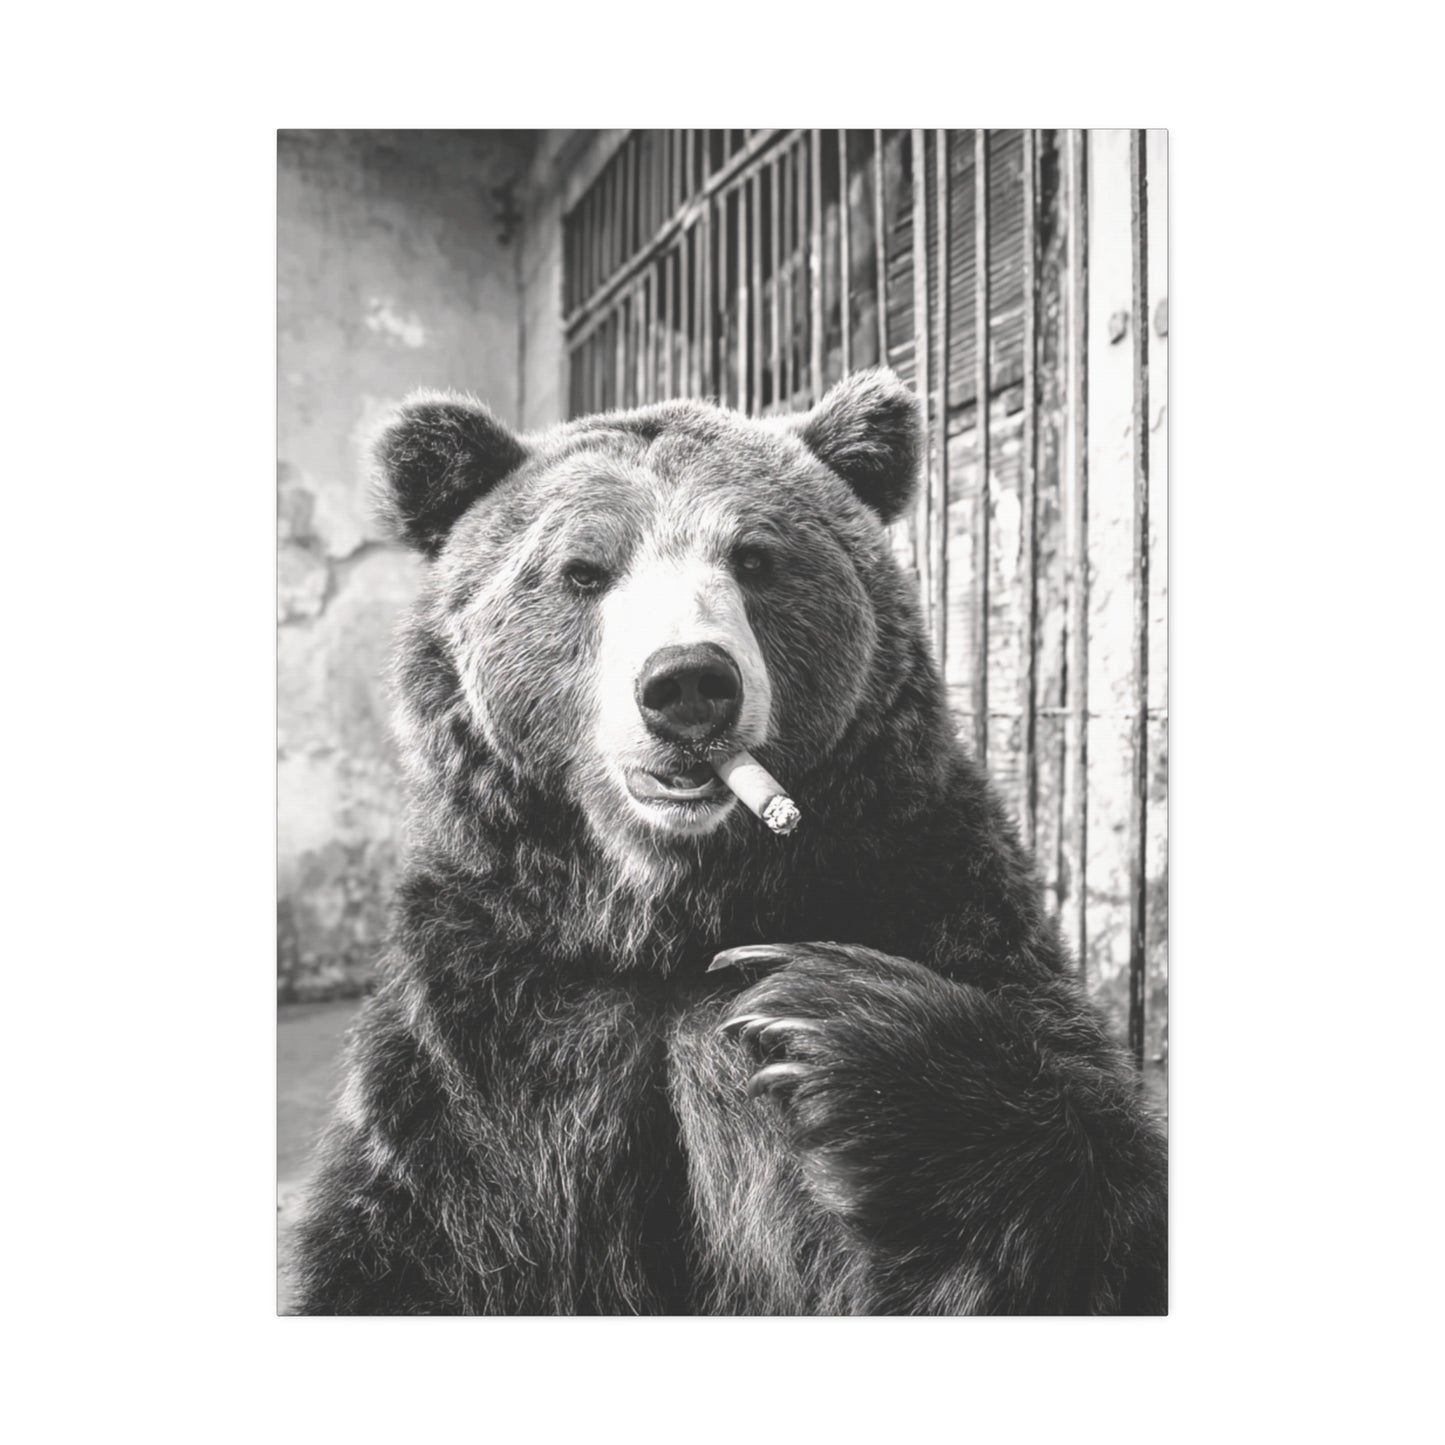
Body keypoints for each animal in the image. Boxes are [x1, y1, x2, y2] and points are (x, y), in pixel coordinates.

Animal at [289, 368, 1167, 1315]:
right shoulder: (492, 1020)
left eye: (753, 556)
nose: (687, 683)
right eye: (583, 569)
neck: (668, 910)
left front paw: (816, 1018)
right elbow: (409, 1245)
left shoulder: (928, 885)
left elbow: (1106, 1193)